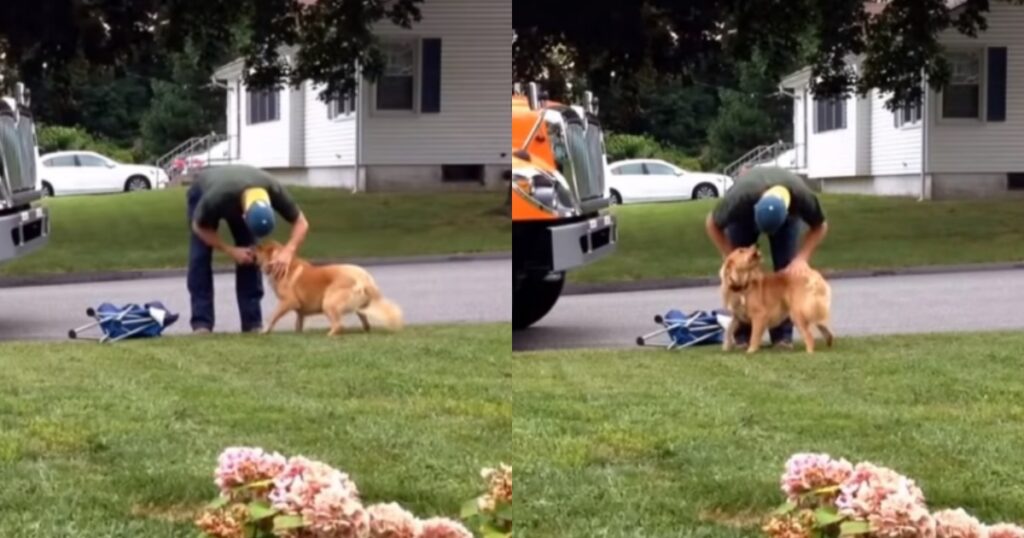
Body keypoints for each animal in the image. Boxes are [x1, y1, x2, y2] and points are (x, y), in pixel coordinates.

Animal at [251, 239, 403, 336]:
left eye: (260, 247)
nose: (251, 246)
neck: (284, 265)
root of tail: (364, 278)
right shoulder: (299, 309)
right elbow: (299, 321)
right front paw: (298, 333)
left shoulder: (288, 302)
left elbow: (273, 316)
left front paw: (265, 331)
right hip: (359, 306)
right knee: (365, 322)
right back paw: (364, 330)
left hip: (328, 303)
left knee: (339, 325)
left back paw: (329, 334)